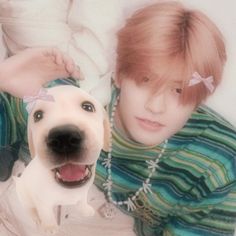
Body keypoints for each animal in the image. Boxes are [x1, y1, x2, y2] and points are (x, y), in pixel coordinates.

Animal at [14, 85, 110, 232]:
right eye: (38, 115)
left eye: (88, 107)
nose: (64, 138)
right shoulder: (42, 202)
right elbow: (46, 214)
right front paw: (50, 227)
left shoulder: (83, 192)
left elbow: (82, 200)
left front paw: (85, 210)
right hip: (24, 195)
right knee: (29, 208)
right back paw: (35, 217)